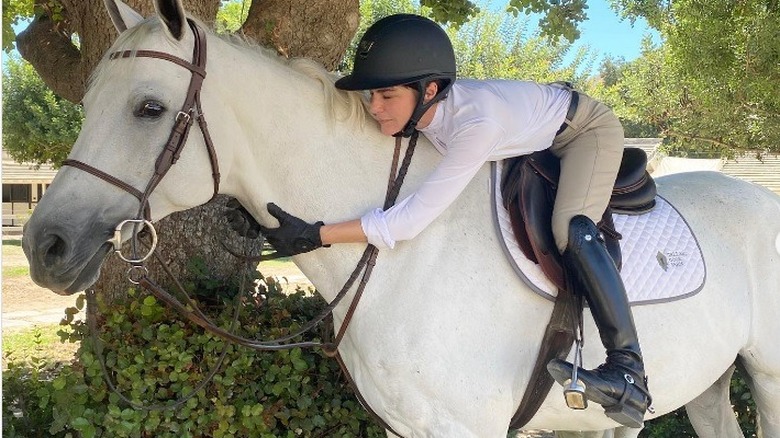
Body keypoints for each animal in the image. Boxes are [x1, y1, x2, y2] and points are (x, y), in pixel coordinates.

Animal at [19, 1, 780, 436]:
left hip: (766, 378)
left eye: (149, 108)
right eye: (89, 100)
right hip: (710, 383)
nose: (43, 245)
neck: (408, 263)